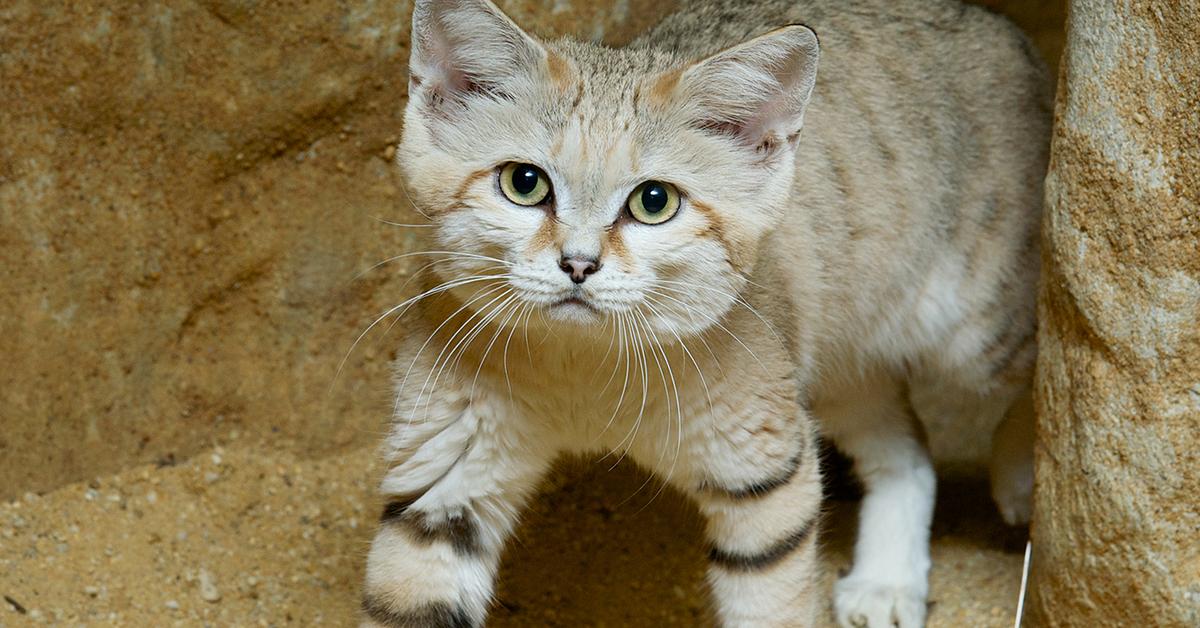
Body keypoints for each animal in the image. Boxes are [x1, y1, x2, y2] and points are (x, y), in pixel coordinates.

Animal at [357, 0, 1051, 624]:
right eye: (523, 183)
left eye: (654, 201)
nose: (578, 264)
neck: (581, 369)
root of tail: (1000, 26)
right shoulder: (444, 485)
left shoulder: (766, 481)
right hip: (837, 358)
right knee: (908, 451)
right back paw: (888, 582)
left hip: (974, 323)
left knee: (1045, 355)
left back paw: (1023, 477)